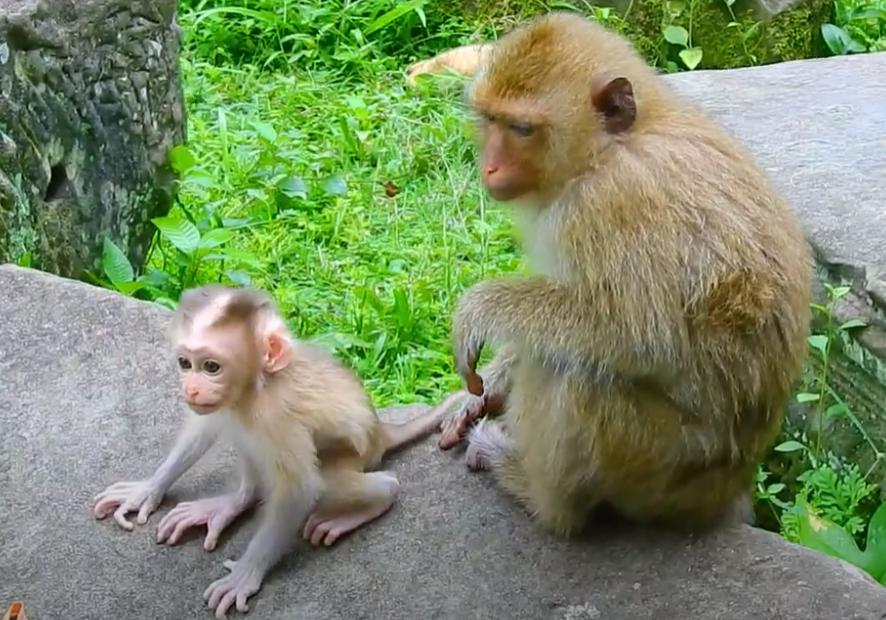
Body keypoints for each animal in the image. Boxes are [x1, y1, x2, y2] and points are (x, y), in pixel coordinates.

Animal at [92, 283, 468, 619]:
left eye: (211, 367)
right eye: (185, 363)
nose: (192, 389)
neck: (256, 387)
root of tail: (379, 431)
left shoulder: (276, 415)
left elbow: (300, 489)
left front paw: (245, 574)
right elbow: (204, 428)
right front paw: (147, 489)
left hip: (353, 456)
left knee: (337, 480)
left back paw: (371, 498)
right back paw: (234, 502)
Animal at [436, 11, 814, 537]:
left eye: (522, 128)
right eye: (490, 119)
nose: (487, 167)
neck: (611, 149)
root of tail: (725, 490)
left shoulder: (608, 206)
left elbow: (640, 336)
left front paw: (480, 309)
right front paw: (487, 388)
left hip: (657, 463)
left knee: (574, 369)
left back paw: (543, 499)